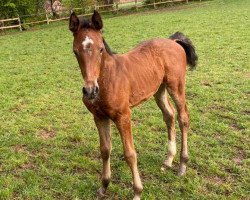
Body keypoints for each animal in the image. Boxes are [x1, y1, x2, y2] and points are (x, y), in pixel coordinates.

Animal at [68, 10, 197, 200]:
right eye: (75, 51)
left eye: (100, 49)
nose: (90, 91)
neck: (108, 79)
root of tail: (173, 41)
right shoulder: (99, 117)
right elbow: (105, 149)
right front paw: (103, 186)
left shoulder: (123, 116)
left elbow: (129, 153)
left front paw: (137, 191)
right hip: (159, 89)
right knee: (169, 115)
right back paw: (168, 161)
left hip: (176, 86)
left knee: (183, 118)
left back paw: (182, 165)